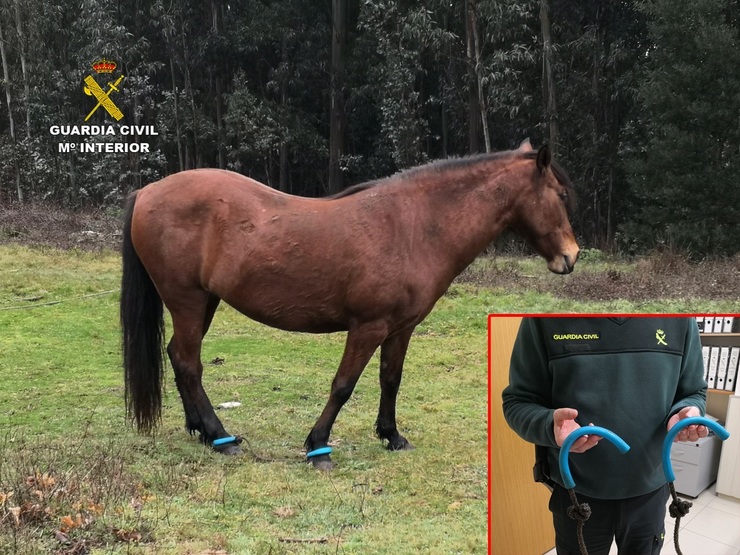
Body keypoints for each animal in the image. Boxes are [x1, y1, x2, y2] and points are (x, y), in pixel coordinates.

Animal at [120, 140, 580, 470]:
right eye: (560, 194)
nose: (571, 257)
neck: (414, 226)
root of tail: (147, 191)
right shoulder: (368, 327)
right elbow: (343, 385)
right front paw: (318, 446)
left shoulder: (401, 328)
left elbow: (390, 379)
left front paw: (392, 436)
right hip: (187, 300)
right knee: (188, 363)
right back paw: (220, 438)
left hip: (204, 302)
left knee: (178, 356)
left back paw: (200, 430)